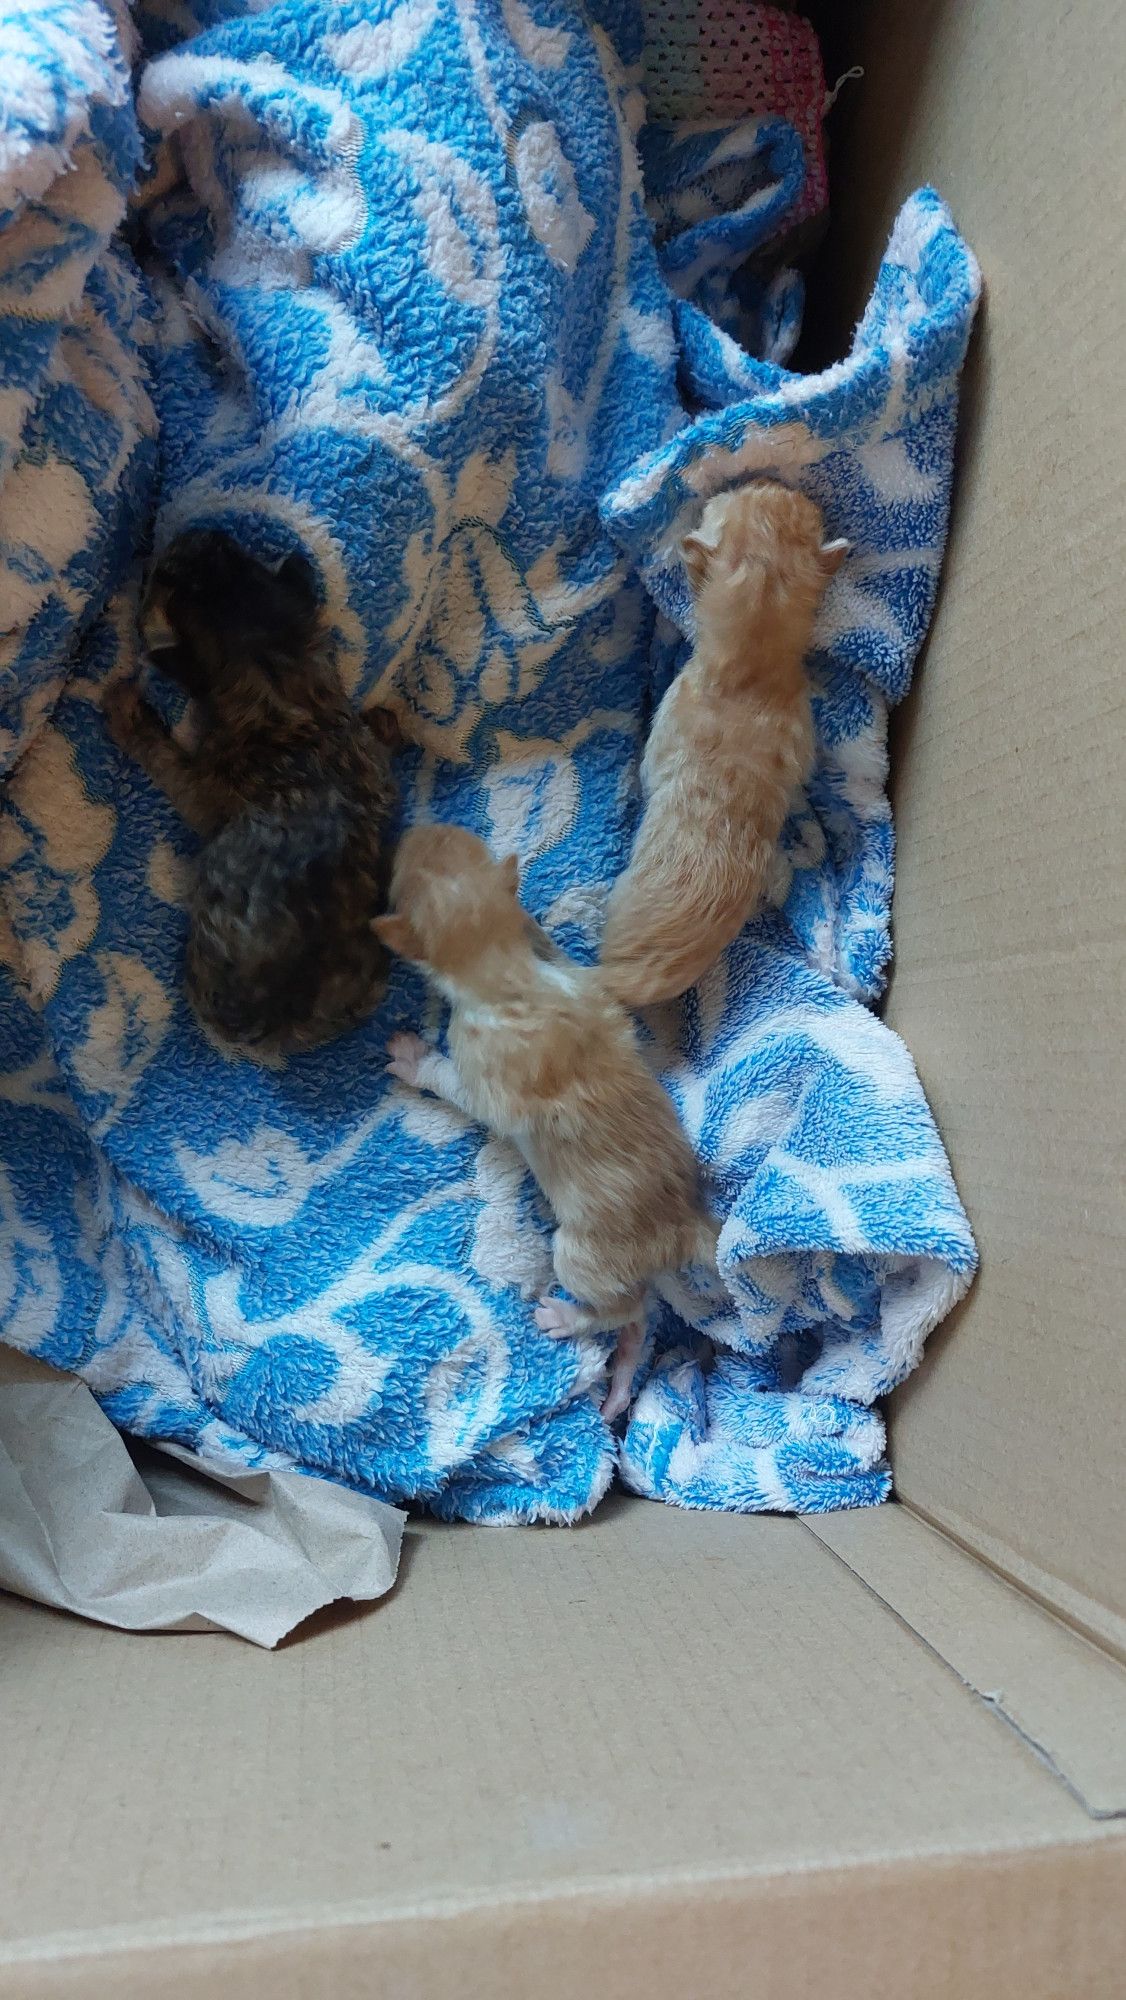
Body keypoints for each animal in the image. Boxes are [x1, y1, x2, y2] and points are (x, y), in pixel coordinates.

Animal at [106, 532, 404, 1064]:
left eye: (171, 579)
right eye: (237, 555)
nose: (200, 535)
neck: (279, 680)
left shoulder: (204, 786)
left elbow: (165, 760)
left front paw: (128, 715)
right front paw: (386, 724)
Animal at [374, 828, 720, 1424]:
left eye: (397, 876)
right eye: (458, 841)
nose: (414, 827)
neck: (509, 975)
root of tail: (687, 1224)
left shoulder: (483, 1068)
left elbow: (460, 1085)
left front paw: (418, 1062)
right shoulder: (575, 976)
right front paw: (532, 921)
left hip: (584, 1254)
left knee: (624, 1305)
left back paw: (570, 1319)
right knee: (640, 1318)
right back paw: (625, 1374)